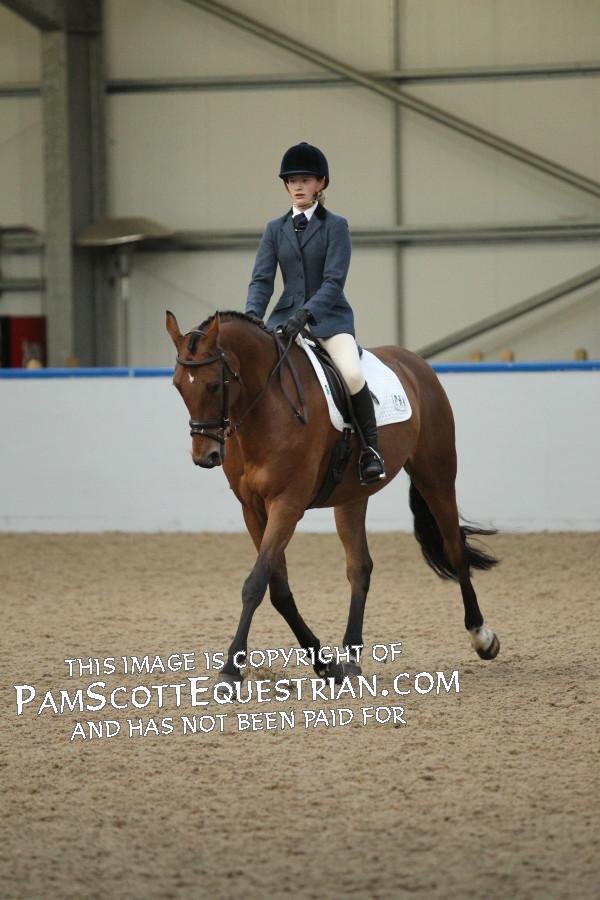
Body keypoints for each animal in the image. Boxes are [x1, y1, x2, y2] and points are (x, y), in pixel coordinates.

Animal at [166, 309, 500, 691]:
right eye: (178, 385)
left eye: (213, 385)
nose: (204, 455)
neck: (266, 408)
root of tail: (414, 361)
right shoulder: (253, 510)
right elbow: (278, 589)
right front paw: (326, 665)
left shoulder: (287, 504)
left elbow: (255, 583)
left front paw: (230, 669)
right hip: (352, 495)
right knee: (360, 567)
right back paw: (351, 659)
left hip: (436, 474)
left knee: (455, 548)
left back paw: (482, 637)